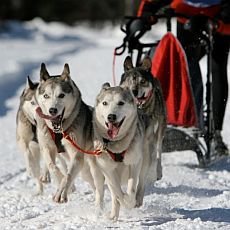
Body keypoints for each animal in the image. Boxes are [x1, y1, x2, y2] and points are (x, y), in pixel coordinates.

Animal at [35, 63, 104, 207]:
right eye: (46, 96)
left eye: (61, 95)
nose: (52, 110)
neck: (58, 130)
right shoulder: (47, 147)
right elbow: (53, 166)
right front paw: (60, 180)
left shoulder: (76, 155)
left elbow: (68, 176)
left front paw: (61, 193)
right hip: (84, 170)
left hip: (90, 166)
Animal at [92, 83, 145, 220]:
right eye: (105, 103)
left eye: (121, 103)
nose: (111, 116)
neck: (117, 146)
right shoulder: (108, 169)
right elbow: (116, 191)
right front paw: (121, 200)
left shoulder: (134, 163)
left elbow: (131, 190)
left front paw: (129, 200)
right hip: (97, 173)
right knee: (104, 191)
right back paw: (108, 214)